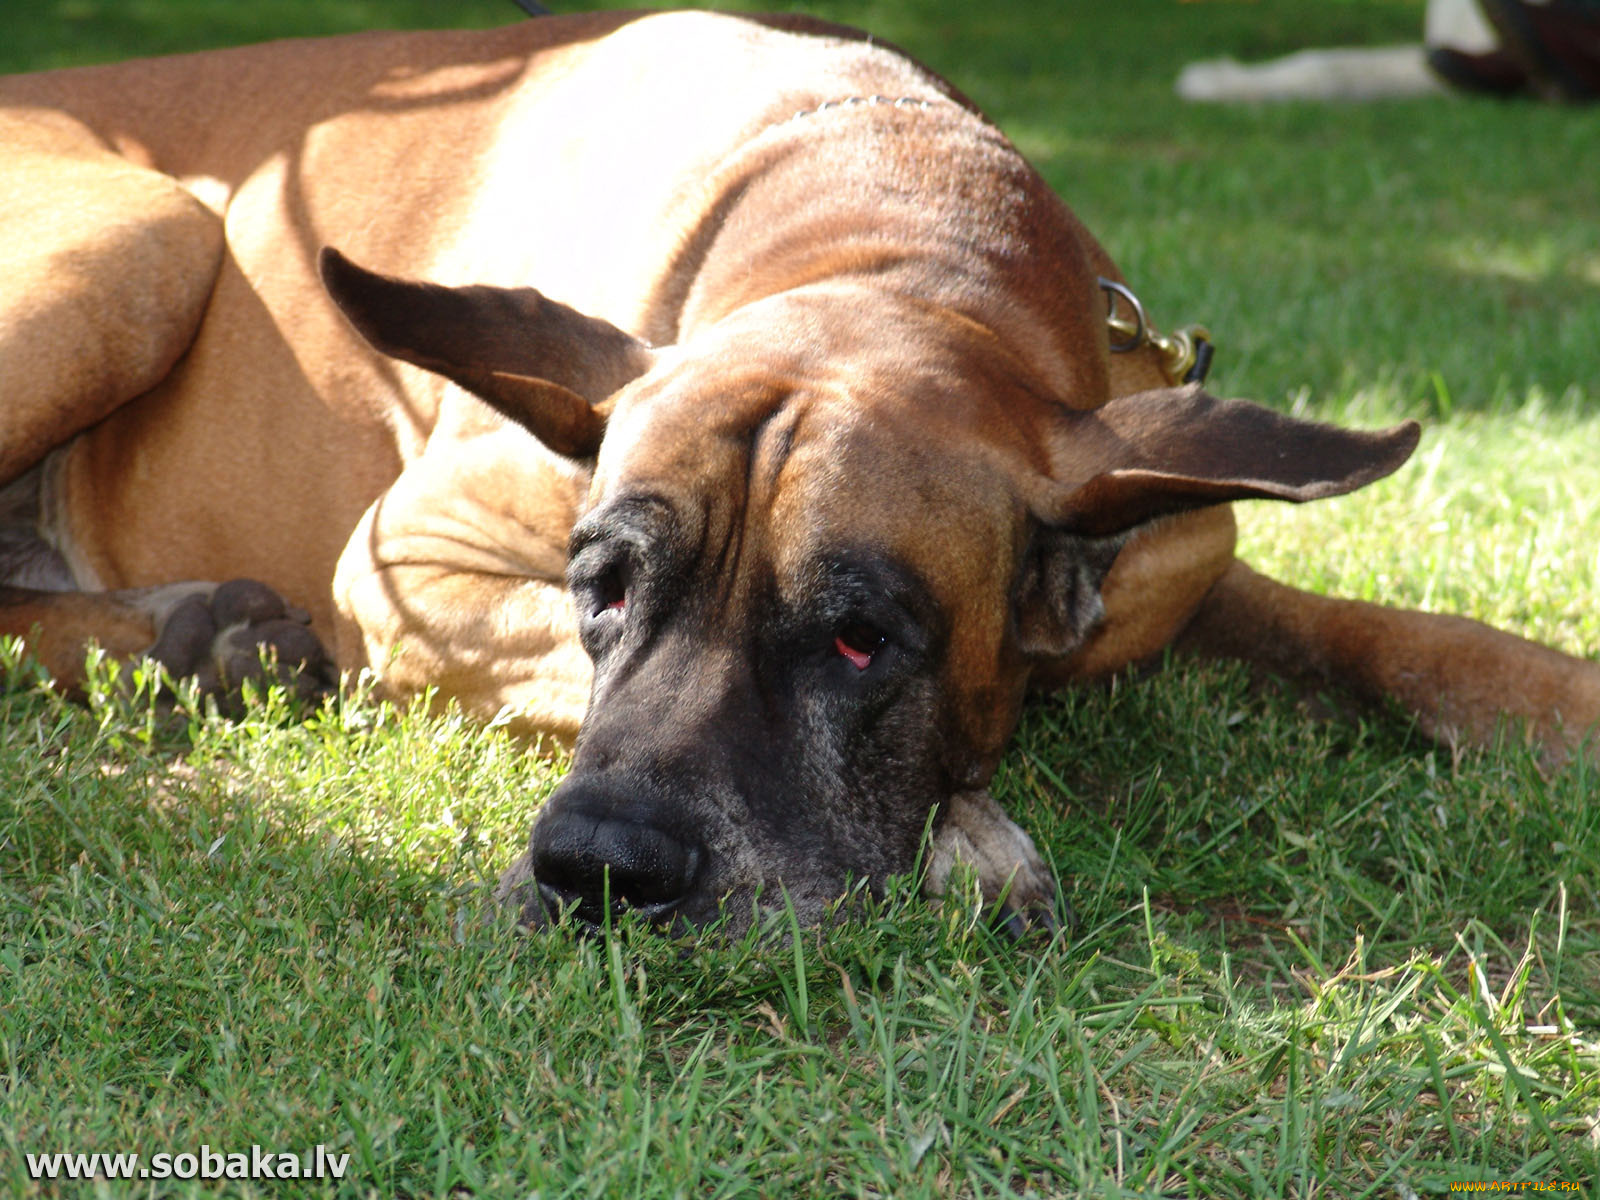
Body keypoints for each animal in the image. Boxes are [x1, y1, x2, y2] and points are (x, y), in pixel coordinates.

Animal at [3, 11, 1600, 928]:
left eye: (858, 639)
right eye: (602, 588)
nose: (603, 868)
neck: (880, 226)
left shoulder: (1158, 543)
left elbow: (1386, 633)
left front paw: (1552, 697)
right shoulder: (406, 566)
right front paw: (966, 843)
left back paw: (194, 641)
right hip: (152, 231)